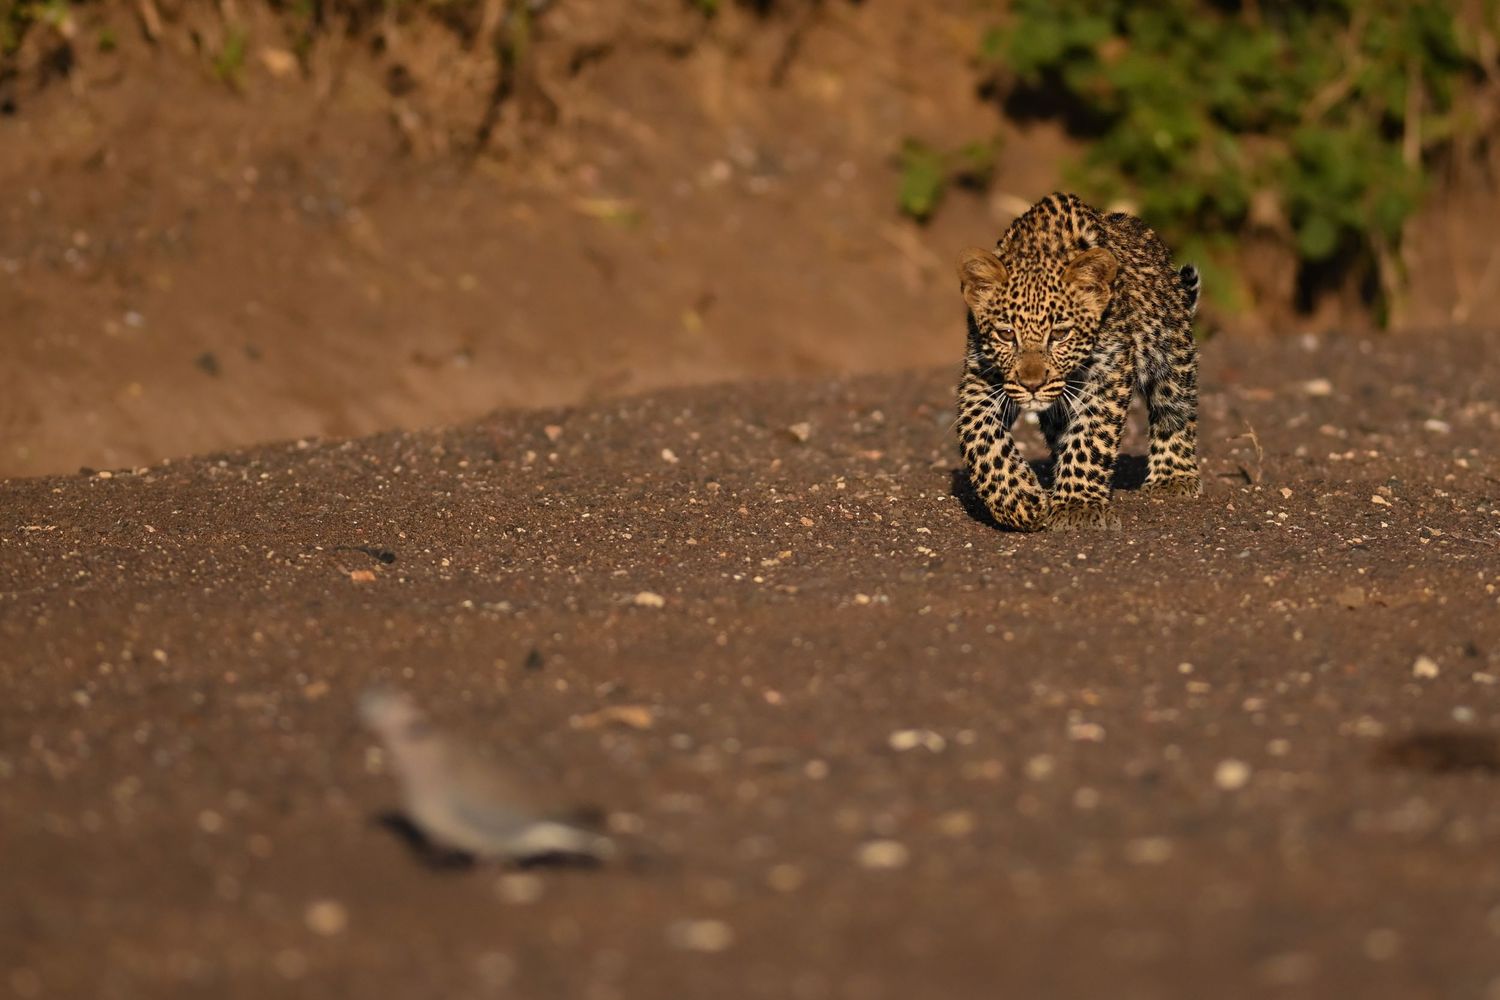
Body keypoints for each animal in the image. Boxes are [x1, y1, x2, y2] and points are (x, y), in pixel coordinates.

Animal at [955, 192, 1201, 532]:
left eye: (1060, 334)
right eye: (1006, 334)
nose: (1032, 385)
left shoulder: (1109, 373)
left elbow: (1090, 436)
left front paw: (1077, 504)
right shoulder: (981, 377)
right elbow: (979, 435)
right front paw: (1019, 500)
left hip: (1169, 350)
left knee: (1174, 409)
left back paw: (1173, 476)